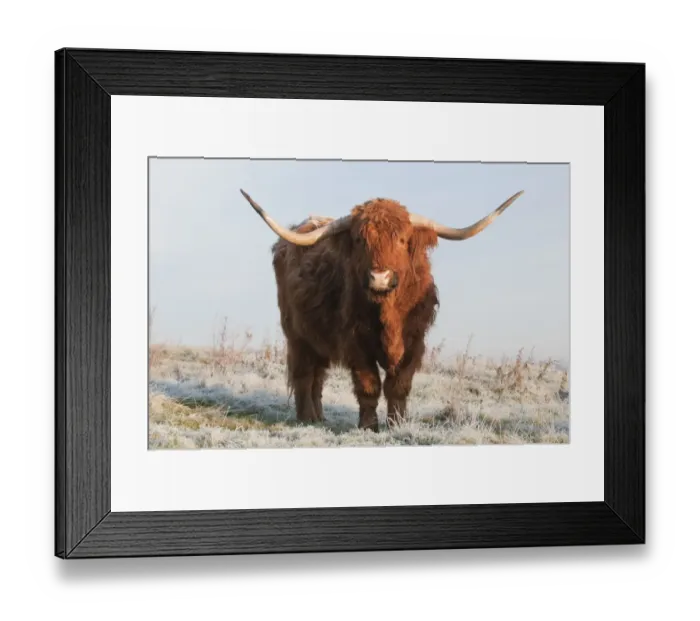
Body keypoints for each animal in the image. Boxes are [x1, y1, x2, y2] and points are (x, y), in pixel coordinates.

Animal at [240, 188, 524, 432]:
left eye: (402, 239)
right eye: (359, 239)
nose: (380, 277)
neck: (389, 314)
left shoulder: (415, 342)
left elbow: (399, 386)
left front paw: (397, 424)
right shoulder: (356, 344)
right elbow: (369, 385)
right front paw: (368, 425)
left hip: (318, 338)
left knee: (317, 377)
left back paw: (319, 417)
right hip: (297, 336)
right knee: (303, 375)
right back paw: (306, 418)